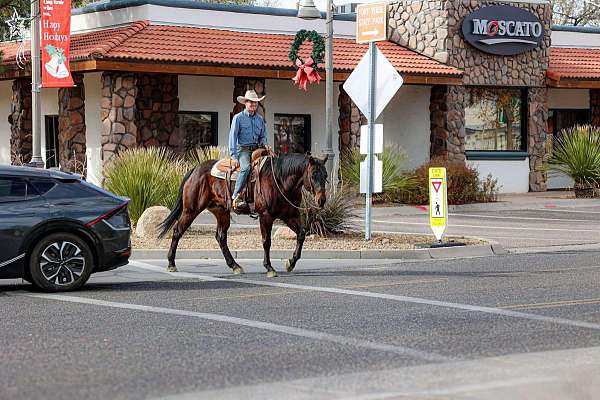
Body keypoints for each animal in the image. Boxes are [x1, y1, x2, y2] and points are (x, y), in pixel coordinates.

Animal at [158, 152, 328, 276]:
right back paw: (171, 264)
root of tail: (195, 169)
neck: (280, 181)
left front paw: (291, 263)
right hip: (191, 210)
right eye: (313, 175)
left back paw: (235, 265)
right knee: (177, 231)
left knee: (221, 237)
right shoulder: (265, 216)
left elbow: (302, 234)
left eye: (325, 176)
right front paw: (269, 268)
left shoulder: (290, 216)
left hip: (221, 212)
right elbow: (266, 241)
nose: (321, 200)